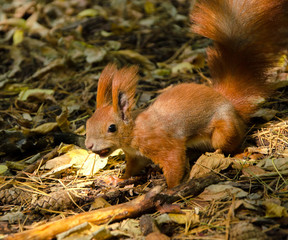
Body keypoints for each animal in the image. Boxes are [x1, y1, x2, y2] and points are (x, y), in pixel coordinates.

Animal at [86, 0, 288, 188]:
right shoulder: (135, 155)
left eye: (112, 128)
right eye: (87, 123)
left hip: (224, 130)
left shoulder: (162, 143)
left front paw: (169, 190)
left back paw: (240, 153)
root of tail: (229, 102)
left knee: (229, 143)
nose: (88, 145)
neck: (134, 130)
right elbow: (133, 169)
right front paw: (117, 179)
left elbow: (173, 161)